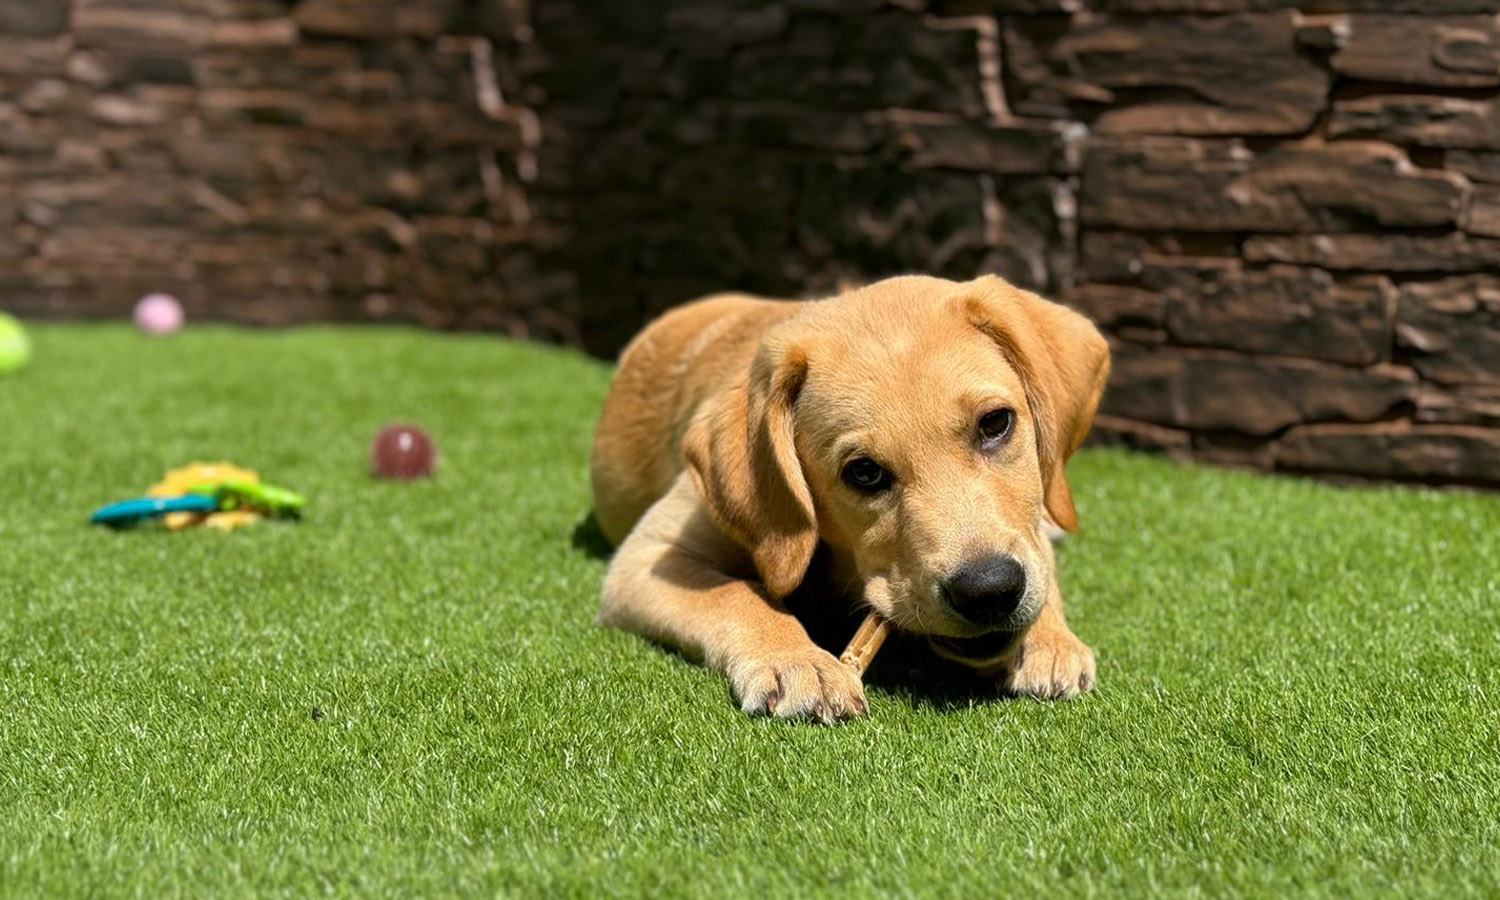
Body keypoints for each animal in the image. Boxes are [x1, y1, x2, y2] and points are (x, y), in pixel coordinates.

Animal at [591, 270, 1110, 720]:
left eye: (996, 423)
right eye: (864, 472)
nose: (989, 590)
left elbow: (1037, 554)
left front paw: (1050, 639)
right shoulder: (647, 556)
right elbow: (737, 595)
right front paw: (798, 662)